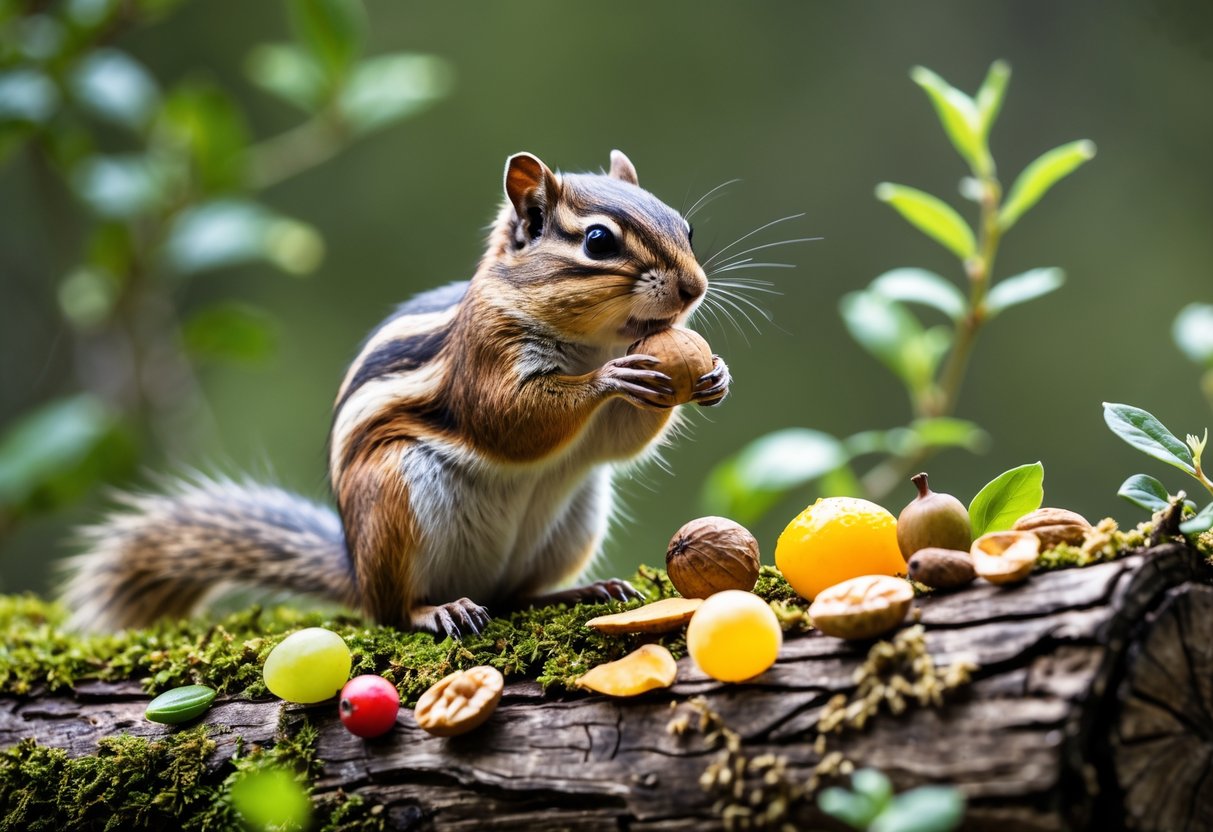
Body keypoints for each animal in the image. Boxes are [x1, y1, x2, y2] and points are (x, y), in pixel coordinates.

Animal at [60, 150, 730, 638]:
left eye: (687, 226)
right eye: (597, 242)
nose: (694, 289)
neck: (593, 342)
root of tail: (356, 572)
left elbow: (617, 442)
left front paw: (715, 375)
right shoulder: (484, 354)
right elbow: (509, 420)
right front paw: (611, 380)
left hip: (575, 515)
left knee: (517, 595)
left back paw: (583, 590)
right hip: (392, 498)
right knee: (393, 611)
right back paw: (438, 609)